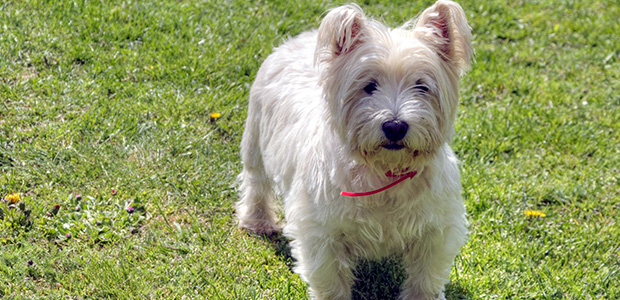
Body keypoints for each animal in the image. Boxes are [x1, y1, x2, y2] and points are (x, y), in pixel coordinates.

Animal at [235, 1, 472, 298]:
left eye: (422, 86)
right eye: (369, 86)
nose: (395, 126)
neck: (384, 173)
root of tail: (300, 38)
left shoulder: (436, 231)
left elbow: (424, 279)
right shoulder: (321, 234)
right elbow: (331, 282)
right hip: (254, 141)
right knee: (256, 184)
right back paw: (258, 222)